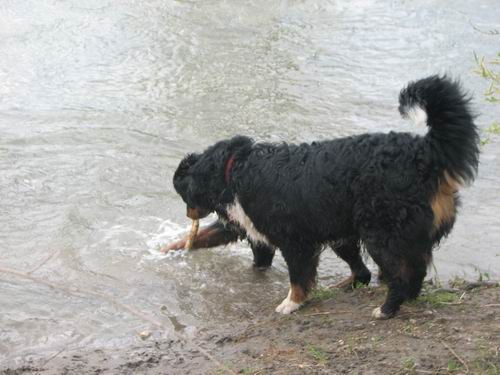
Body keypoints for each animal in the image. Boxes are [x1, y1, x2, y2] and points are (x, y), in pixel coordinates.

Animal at [173, 77, 480, 320]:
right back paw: (400, 298)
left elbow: (298, 278)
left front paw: (291, 304)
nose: (189, 215)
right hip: (352, 233)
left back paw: (387, 310)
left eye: (183, 195)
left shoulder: (294, 240)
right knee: (400, 271)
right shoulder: (259, 233)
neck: (235, 170)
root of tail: (425, 151)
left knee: (399, 274)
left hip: (381, 234)